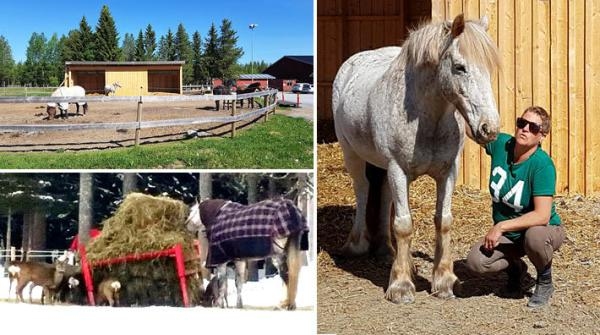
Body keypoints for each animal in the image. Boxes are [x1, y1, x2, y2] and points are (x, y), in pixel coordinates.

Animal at [332, 14, 502, 304]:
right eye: (460, 67)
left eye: (490, 68)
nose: (489, 128)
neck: (428, 119)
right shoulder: (398, 169)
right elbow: (403, 224)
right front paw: (401, 286)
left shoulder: (448, 172)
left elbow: (443, 221)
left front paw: (444, 282)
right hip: (352, 154)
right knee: (363, 189)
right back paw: (357, 244)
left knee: (384, 194)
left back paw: (387, 251)